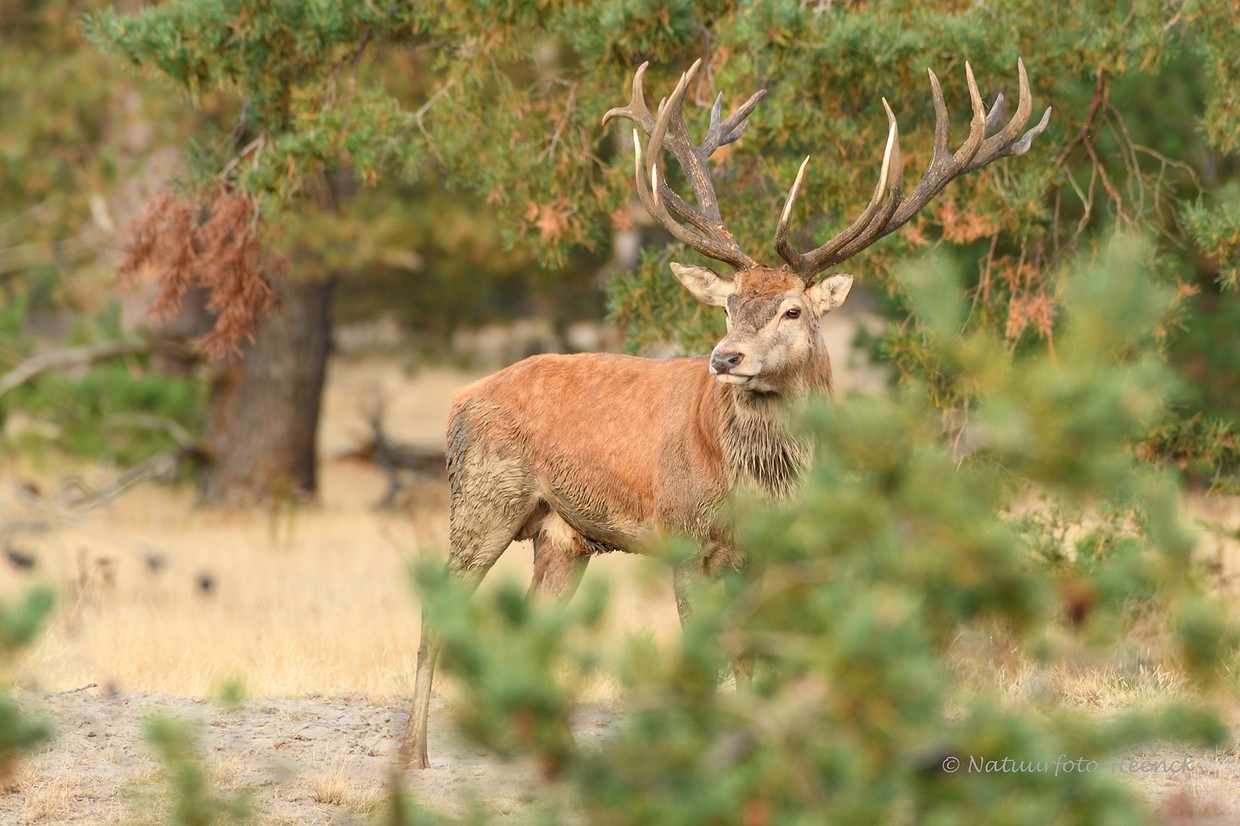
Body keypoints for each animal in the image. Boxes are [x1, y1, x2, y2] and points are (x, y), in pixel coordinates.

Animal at [402, 58, 1050, 769]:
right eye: (729, 305)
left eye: (792, 310)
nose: (725, 357)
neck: (753, 484)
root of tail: (461, 400)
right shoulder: (684, 535)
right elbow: (703, 659)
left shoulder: (772, 554)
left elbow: (752, 661)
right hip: (483, 497)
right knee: (436, 613)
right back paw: (416, 757)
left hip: (562, 533)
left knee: (534, 628)